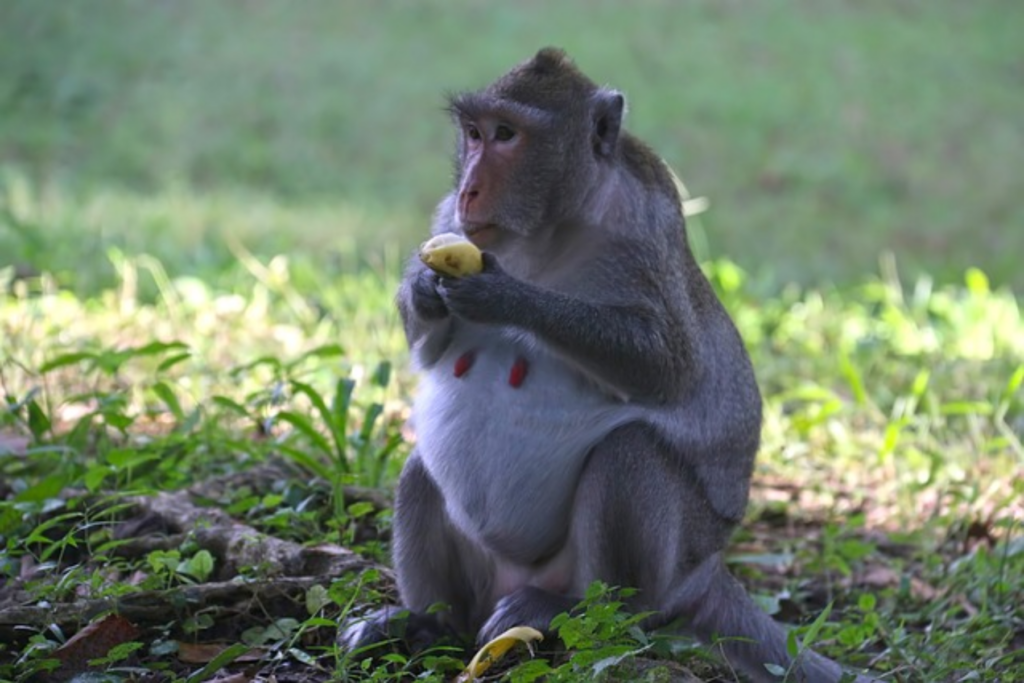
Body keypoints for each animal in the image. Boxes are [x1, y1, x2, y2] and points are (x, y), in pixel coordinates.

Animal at [344, 49, 872, 683]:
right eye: (473, 134)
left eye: (506, 135)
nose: (469, 188)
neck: (545, 232)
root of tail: (709, 570)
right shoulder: (446, 218)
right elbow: (429, 352)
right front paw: (423, 288)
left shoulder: (645, 226)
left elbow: (664, 365)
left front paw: (506, 296)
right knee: (423, 471)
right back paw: (429, 624)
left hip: (670, 565)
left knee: (629, 456)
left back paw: (575, 609)